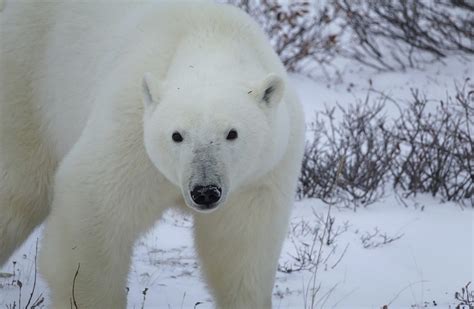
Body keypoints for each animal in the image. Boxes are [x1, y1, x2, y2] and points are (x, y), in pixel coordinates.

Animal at [0, 1, 304, 306]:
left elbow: (241, 248)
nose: (205, 191)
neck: (211, 35)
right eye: (177, 135)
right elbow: (94, 212)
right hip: (27, 80)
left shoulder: (261, 174)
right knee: (20, 190)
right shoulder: (131, 132)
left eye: (232, 133)